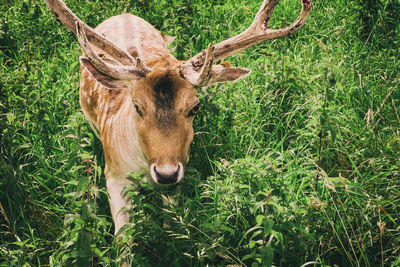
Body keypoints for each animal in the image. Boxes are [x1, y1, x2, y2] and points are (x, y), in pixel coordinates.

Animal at [43, 0, 312, 234]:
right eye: (137, 107)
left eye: (195, 107)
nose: (166, 173)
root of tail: (124, 14)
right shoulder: (114, 174)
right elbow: (123, 239)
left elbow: (171, 225)